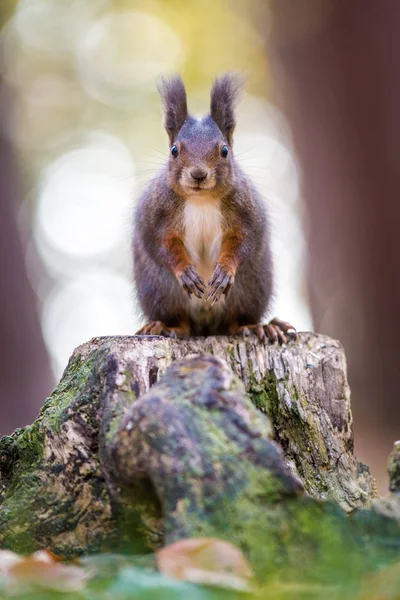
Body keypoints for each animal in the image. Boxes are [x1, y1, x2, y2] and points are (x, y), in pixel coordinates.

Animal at [133, 74, 296, 342]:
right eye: (174, 150)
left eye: (224, 151)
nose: (198, 174)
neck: (202, 200)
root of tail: (207, 326)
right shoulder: (156, 213)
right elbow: (161, 244)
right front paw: (185, 271)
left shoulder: (246, 212)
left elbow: (243, 241)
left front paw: (225, 271)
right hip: (160, 290)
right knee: (182, 323)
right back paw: (166, 327)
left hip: (250, 289)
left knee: (234, 321)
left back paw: (256, 326)